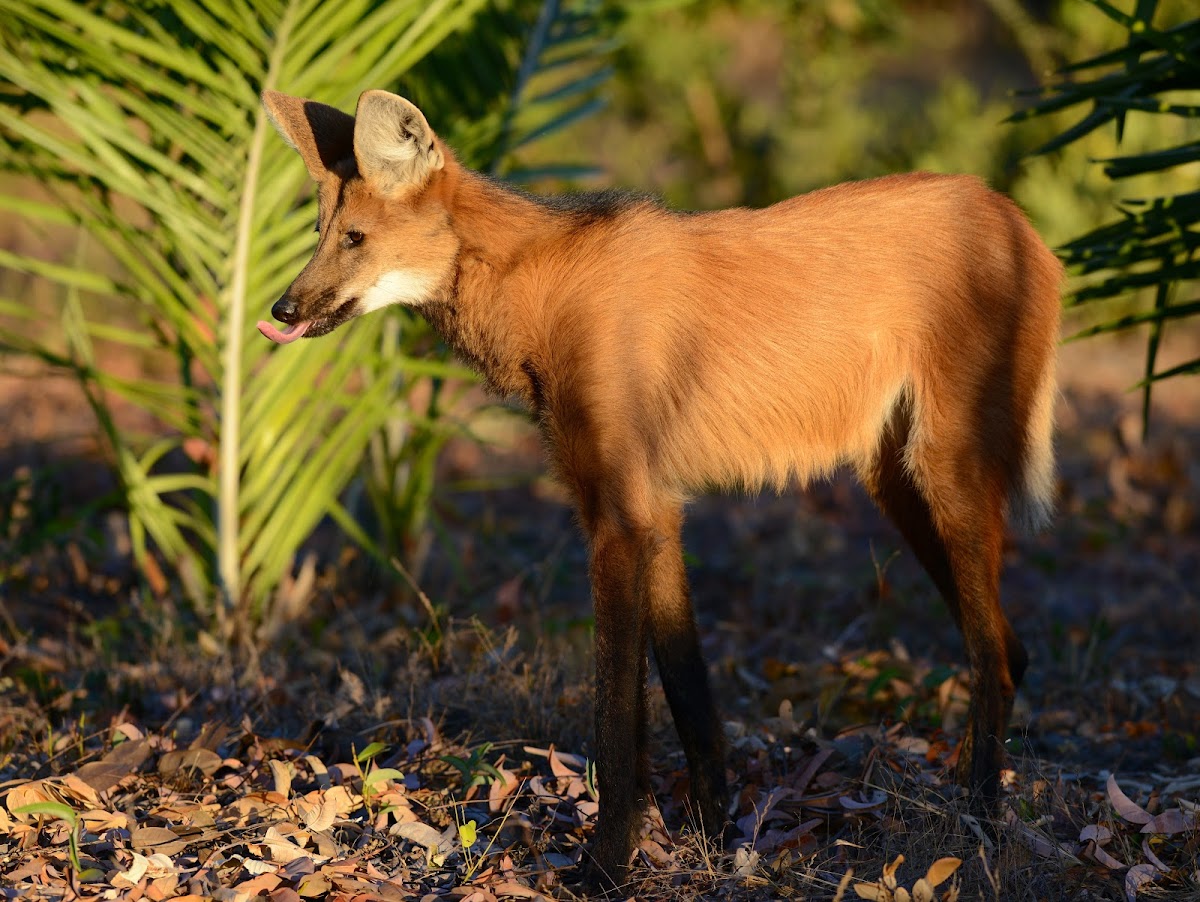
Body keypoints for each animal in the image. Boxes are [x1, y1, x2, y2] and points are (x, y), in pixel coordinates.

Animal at [260, 89, 1060, 887]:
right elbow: (690, 695)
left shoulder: (620, 519)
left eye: (356, 238)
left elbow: (617, 720)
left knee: (993, 655)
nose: (281, 311)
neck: (538, 291)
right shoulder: (656, 510)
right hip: (894, 483)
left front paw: (605, 867)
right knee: (1012, 647)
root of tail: (1014, 215)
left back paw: (982, 830)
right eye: (321, 234)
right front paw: (711, 839)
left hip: (943, 472)